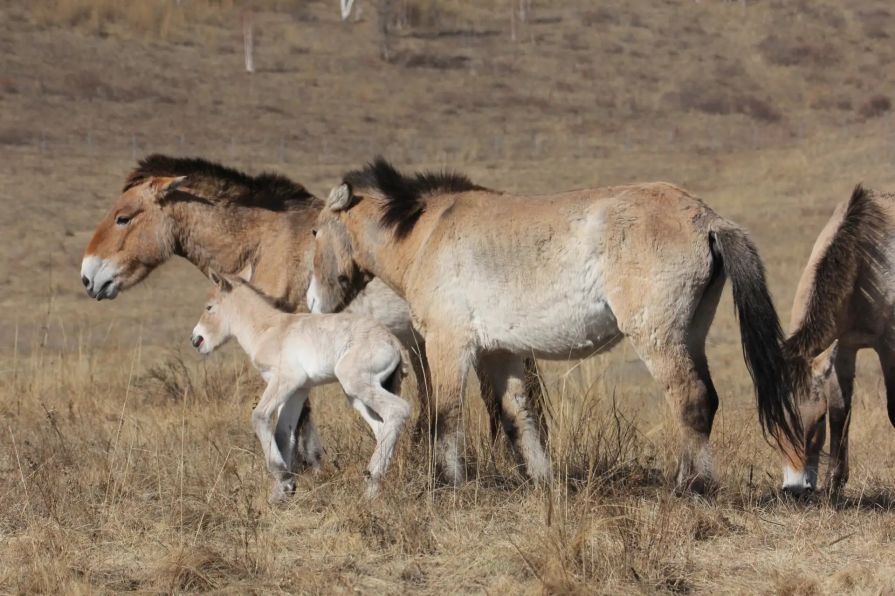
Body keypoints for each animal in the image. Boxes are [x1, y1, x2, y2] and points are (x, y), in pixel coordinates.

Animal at [192, 270, 411, 502]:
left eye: (209, 307)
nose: (196, 340)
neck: (269, 330)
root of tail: (395, 343)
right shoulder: (298, 391)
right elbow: (283, 433)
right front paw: (283, 492)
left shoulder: (287, 379)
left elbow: (259, 416)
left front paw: (282, 474)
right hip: (356, 394)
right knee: (382, 426)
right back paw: (372, 490)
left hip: (355, 381)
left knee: (398, 410)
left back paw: (372, 478)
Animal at [307, 158, 802, 491]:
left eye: (314, 232)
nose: (313, 302)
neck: (428, 232)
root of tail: (705, 218)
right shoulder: (499, 353)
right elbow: (519, 417)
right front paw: (542, 482)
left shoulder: (449, 346)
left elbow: (444, 416)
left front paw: (448, 483)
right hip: (691, 334)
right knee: (703, 401)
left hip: (658, 338)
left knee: (691, 399)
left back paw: (689, 487)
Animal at [780, 185, 892, 493]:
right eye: (776, 422)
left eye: (817, 421)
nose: (795, 489)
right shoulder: (844, 346)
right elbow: (841, 410)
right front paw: (834, 482)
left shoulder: (888, 346)